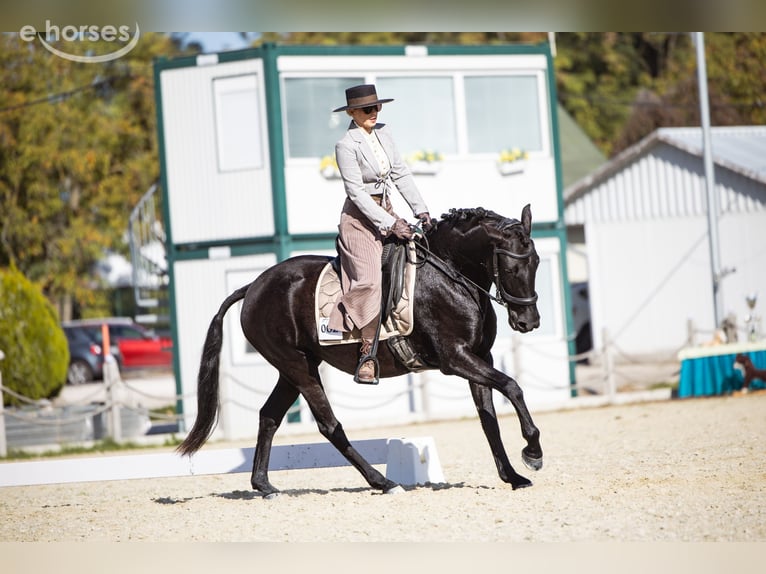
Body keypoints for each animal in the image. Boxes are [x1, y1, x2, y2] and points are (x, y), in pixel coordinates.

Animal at [178, 205, 544, 495]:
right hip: (298, 367)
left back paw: (264, 485)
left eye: (537, 262)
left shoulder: (480, 357)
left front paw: (512, 476)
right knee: (329, 426)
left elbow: (489, 418)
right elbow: (513, 386)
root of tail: (253, 286)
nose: (529, 321)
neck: (452, 275)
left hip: (293, 368)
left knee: (269, 416)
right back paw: (383, 482)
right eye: (512, 268)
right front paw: (533, 452)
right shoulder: (455, 358)